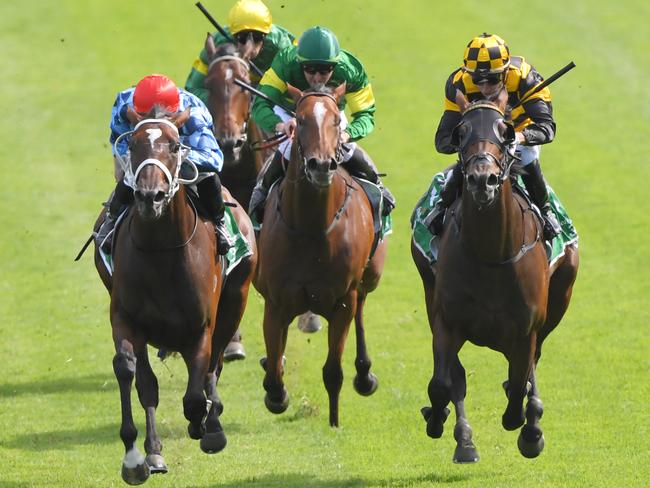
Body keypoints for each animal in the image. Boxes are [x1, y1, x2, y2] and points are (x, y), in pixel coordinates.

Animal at [93, 107, 256, 484]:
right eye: (133, 145)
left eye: (174, 145)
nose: (150, 196)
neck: (161, 252)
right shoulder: (126, 318)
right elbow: (132, 374)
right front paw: (138, 457)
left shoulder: (201, 327)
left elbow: (197, 390)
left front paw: (206, 425)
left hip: (235, 300)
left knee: (214, 366)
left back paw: (212, 422)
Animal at [252, 84, 384, 428]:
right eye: (300, 119)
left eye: (337, 120)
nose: (321, 165)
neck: (312, 227)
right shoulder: (276, 301)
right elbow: (274, 372)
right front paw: (277, 395)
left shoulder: (342, 302)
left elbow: (333, 372)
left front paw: (334, 422)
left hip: (370, 277)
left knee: (362, 309)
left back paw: (365, 375)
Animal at [410, 94, 576, 462]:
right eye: (460, 132)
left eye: (507, 131)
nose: (481, 179)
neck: (492, 255)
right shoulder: (448, 320)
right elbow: (444, 384)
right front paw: (439, 420)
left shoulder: (526, 329)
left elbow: (518, 388)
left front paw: (529, 432)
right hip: (429, 291)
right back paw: (462, 438)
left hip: (560, 295)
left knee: (530, 368)